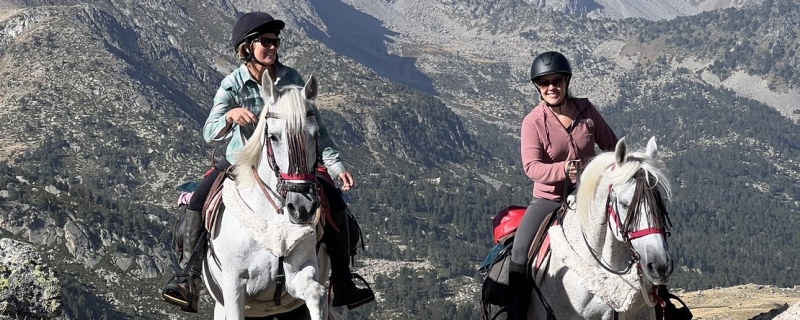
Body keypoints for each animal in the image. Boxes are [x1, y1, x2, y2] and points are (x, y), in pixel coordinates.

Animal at [203, 72, 334, 320]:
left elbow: (316, 293)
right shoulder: (234, 288)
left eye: (315, 134)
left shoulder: (299, 275)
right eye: (273, 137)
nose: (302, 208)